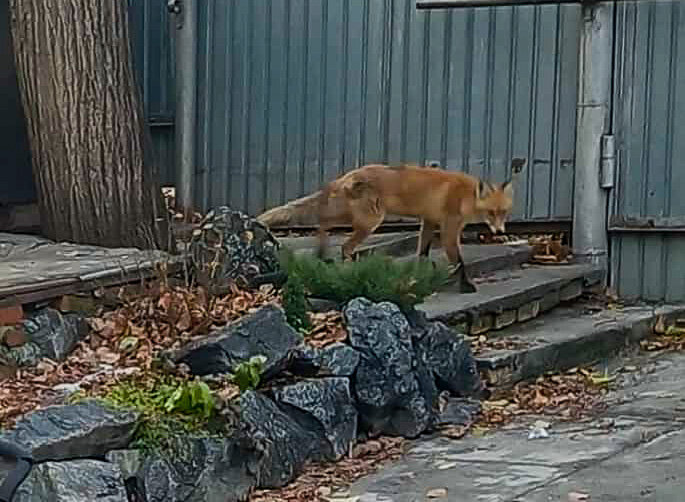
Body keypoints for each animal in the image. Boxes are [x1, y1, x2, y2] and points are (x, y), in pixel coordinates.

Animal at [260, 161, 520, 292]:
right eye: (491, 213)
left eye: (504, 212)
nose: (500, 232)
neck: (466, 196)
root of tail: (346, 175)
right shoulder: (448, 230)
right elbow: (459, 262)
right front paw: (466, 286)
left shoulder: (429, 221)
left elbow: (423, 252)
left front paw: (421, 275)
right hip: (370, 221)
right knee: (343, 245)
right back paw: (344, 266)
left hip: (353, 217)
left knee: (323, 222)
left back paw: (322, 252)